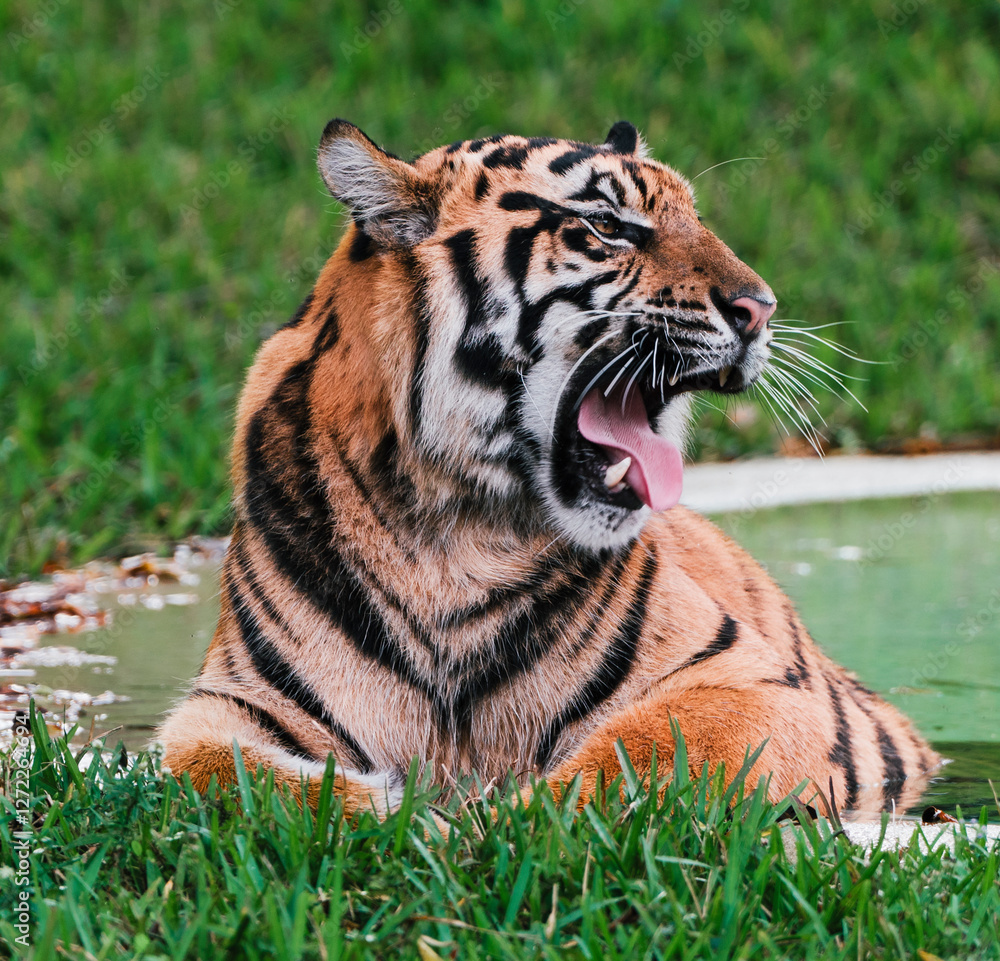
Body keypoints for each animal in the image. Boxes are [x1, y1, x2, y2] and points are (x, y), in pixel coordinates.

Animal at [158, 118, 939, 820]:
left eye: (697, 218)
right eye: (608, 225)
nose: (761, 309)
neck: (453, 531)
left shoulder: (757, 682)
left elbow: (646, 751)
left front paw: (510, 817)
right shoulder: (228, 704)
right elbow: (222, 770)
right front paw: (395, 810)